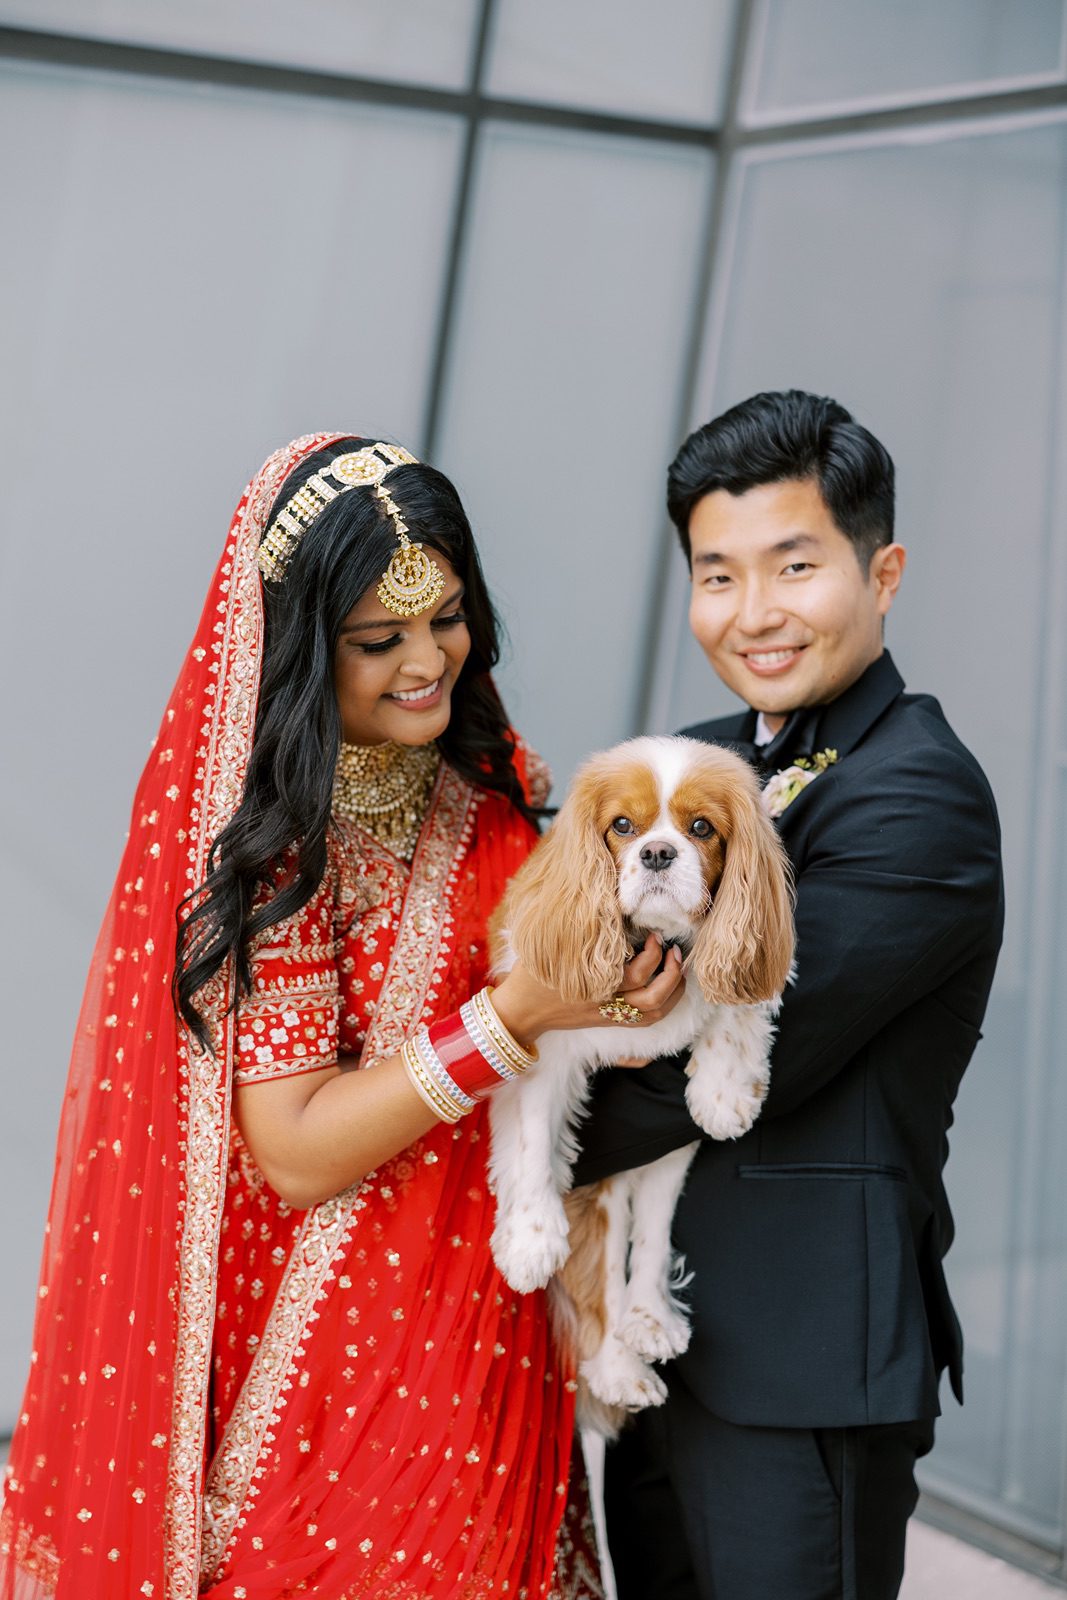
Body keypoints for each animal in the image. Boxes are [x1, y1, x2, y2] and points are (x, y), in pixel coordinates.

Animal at [489, 732, 796, 1427]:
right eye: (622, 827)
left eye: (702, 828)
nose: (657, 852)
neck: (653, 942)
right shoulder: (544, 1048)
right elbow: (532, 1146)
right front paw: (530, 1241)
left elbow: (731, 1001)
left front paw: (724, 1089)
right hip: (599, 1186)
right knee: (600, 1267)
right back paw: (618, 1369)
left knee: (648, 1235)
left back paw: (649, 1320)